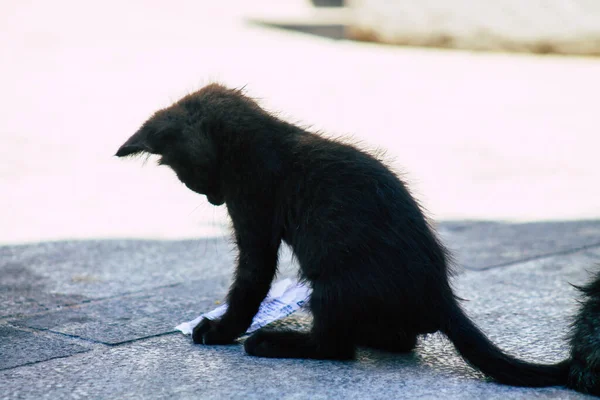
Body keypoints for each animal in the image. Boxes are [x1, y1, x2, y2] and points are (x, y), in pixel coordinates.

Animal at [118, 84, 572, 388]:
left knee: (335, 347)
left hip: (333, 283)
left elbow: (248, 285)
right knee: (400, 339)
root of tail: (439, 293)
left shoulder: (255, 217)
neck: (258, 135)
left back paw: (273, 341)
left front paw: (221, 329)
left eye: (192, 180)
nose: (213, 199)